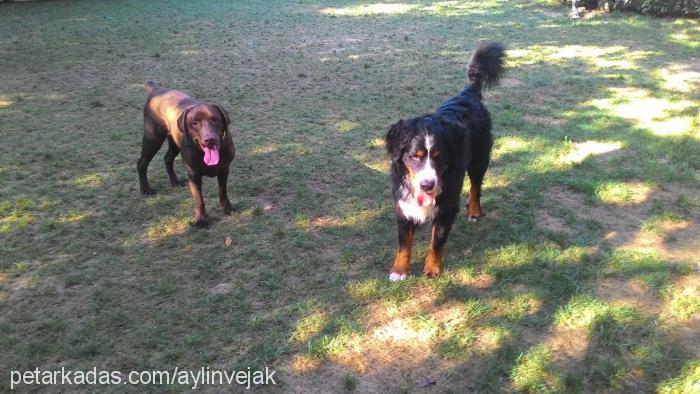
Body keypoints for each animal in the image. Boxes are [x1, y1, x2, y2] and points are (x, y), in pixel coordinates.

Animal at [138, 81, 237, 228]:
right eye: (195, 123)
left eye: (215, 120)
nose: (209, 140)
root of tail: (156, 88)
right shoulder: (194, 174)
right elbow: (198, 199)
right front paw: (201, 220)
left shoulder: (224, 169)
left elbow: (223, 191)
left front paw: (228, 208)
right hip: (153, 138)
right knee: (142, 163)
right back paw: (145, 189)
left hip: (174, 141)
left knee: (167, 158)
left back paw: (175, 181)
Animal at [386, 41, 506, 280]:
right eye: (415, 156)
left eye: (439, 157)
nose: (427, 185)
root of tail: (469, 93)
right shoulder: (403, 205)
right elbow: (404, 244)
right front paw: (399, 271)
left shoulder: (446, 207)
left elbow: (437, 242)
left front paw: (432, 269)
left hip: (479, 159)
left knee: (476, 187)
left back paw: (474, 211)